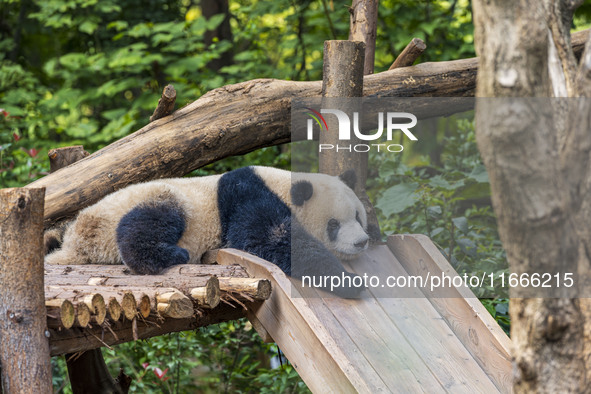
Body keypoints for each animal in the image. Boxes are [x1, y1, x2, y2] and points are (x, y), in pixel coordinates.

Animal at [45, 165, 370, 296]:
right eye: (333, 225)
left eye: (358, 216)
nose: (361, 242)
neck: (282, 185)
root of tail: (75, 245)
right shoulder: (247, 195)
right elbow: (270, 236)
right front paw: (348, 282)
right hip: (145, 203)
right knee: (149, 223)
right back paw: (171, 254)